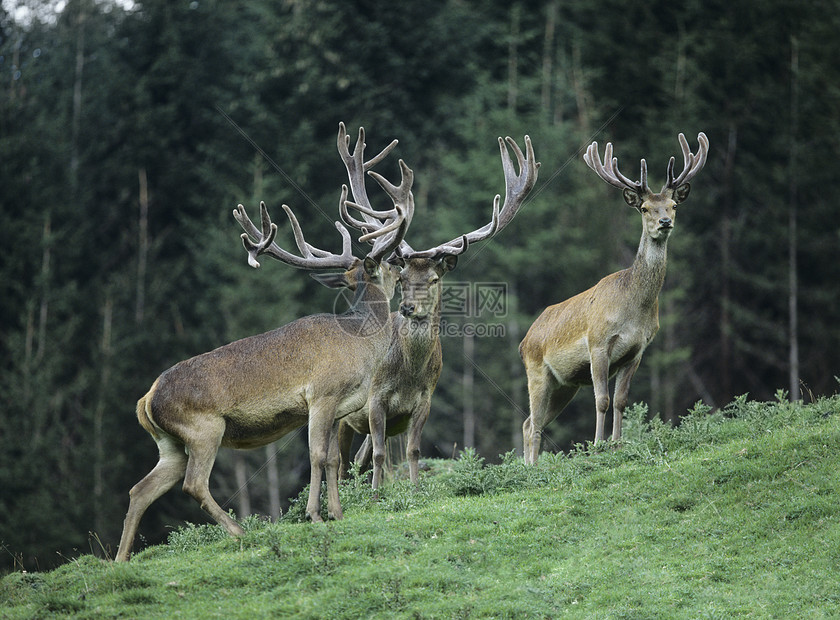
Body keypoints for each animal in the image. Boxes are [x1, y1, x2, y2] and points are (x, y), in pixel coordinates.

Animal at [115, 123, 410, 560]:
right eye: (389, 263)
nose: (404, 265)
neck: (360, 343)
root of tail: (147, 399)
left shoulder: (340, 406)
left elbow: (334, 459)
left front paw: (337, 513)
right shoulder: (321, 394)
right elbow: (317, 456)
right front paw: (314, 515)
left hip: (169, 442)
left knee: (140, 489)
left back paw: (119, 560)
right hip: (203, 428)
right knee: (193, 483)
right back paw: (239, 531)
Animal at [334, 128, 540, 490]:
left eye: (432, 279)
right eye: (402, 277)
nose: (407, 307)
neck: (408, 374)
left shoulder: (424, 401)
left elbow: (413, 450)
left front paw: (415, 489)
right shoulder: (374, 399)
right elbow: (379, 454)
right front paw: (375, 495)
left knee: (356, 460)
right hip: (342, 413)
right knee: (342, 463)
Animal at [520, 132, 708, 460]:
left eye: (673, 205)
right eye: (644, 208)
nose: (665, 222)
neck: (633, 309)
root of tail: (524, 341)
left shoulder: (637, 350)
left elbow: (621, 401)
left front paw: (618, 444)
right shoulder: (598, 344)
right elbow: (602, 400)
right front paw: (597, 446)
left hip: (565, 384)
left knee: (530, 422)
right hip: (537, 371)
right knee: (533, 423)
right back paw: (530, 466)